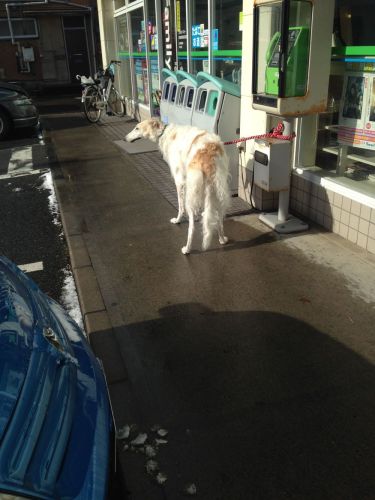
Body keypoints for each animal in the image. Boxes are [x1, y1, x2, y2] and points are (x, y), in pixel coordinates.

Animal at [125, 118, 232, 254]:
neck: (164, 132)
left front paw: (177, 220)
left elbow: (180, 207)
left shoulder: (180, 181)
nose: (125, 138)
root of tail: (208, 151)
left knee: (192, 225)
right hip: (219, 188)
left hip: (192, 194)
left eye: (137, 128)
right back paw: (222, 239)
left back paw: (187, 248)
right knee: (218, 217)